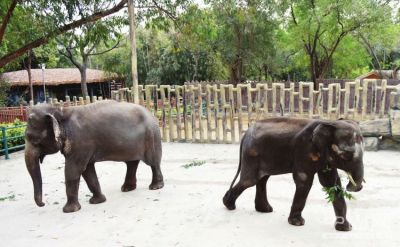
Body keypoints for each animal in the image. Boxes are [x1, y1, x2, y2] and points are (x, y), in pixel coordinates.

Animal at [25, 100, 163, 212]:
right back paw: (127, 188)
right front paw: (98, 201)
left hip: (151, 136)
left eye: (34, 140)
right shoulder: (83, 147)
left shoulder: (80, 142)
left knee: (153, 162)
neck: (61, 111)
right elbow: (87, 170)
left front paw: (69, 210)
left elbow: (73, 170)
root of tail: (151, 113)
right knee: (132, 163)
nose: (43, 204)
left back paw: (155, 187)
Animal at [222, 116, 366, 231]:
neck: (330, 122)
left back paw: (264, 210)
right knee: (250, 180)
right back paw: (228, 205)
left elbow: (331, 183)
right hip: (252, 154)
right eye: (346, 154)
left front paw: (346, 228)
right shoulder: (303, 150)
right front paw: (297, 223)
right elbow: (304, 180)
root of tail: (245, 134)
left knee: (262, 179)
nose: (352, 187)